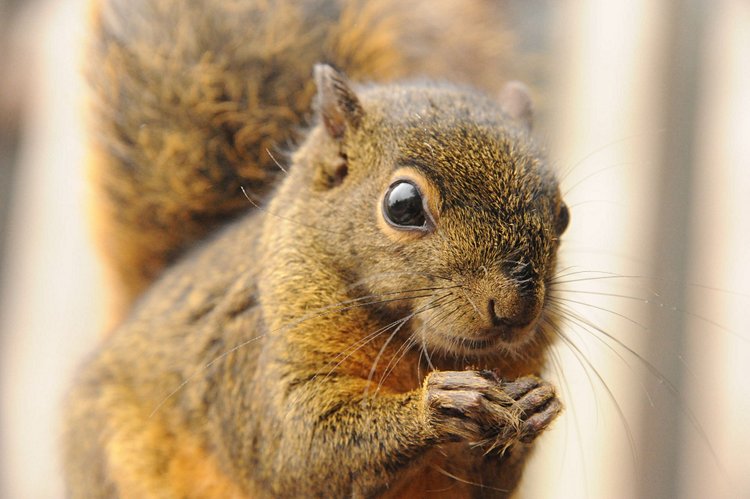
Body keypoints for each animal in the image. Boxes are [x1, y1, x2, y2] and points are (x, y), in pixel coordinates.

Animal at [64, 0, 568, 499]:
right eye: (402, 206)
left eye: (562, 215)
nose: (516, 308)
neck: (419, 349)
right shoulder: (253, 354)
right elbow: (296, 450)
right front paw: (440, 405)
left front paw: (534, 405)